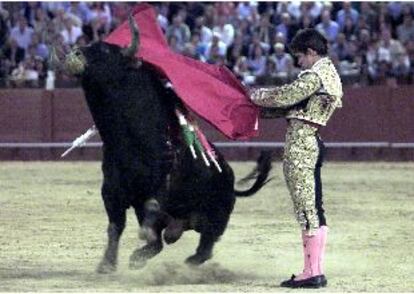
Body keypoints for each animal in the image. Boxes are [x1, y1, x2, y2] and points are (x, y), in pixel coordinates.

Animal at [60, 16, 272, 274]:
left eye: (104, 50)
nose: (74, 53)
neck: (129, 140)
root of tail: (231, 182)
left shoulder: (160, 184)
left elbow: (151, 209)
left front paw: (134, 246)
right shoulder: (111, 192)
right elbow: (115, 227)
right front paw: (107, 264)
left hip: (216, 216)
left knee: (206, 245)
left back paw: (188, 263)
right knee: (163, 243)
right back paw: (140, 258)